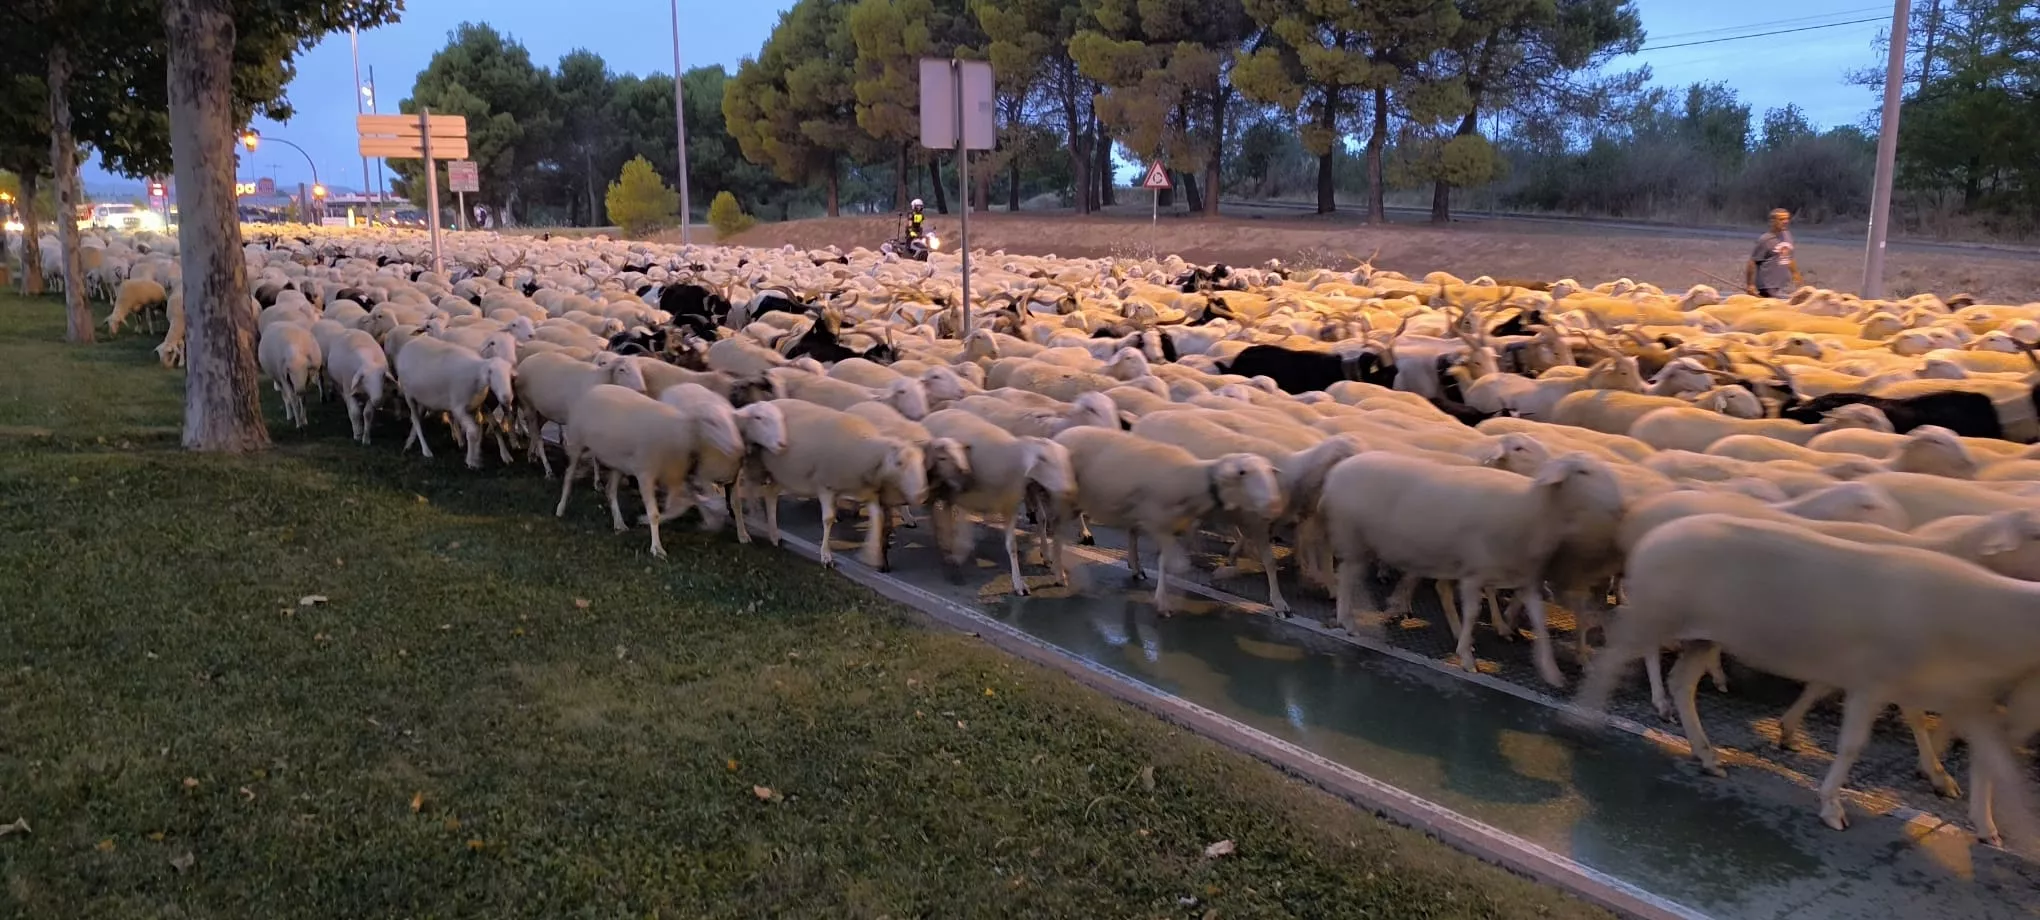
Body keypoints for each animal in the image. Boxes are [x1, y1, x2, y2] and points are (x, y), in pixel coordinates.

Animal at [1050, 427, 1282, 614]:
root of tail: (1062, 435)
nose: (1274, 504)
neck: (1194, 480)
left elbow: (1164, 558)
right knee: (1056, 534)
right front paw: (1162, 599)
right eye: (1242, 472)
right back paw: (1060, 571)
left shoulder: (1167, 525)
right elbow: (1171, 561)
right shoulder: (1156, 522)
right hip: (1064, 500)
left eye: (1270, 473)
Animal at [1319, 451, 1626, 687]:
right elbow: (1473, 612)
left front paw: (1551, 671)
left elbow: (1538, 619)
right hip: (1354, 537)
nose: (1621, 506)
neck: (1534, 509)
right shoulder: (1474, 573)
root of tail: (1337, 472)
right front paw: (1467, 659)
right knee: (1346, 578)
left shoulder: (1523, 577)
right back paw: (1348, 621)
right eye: (1583, 471)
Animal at [1576, 514, 2040, 841]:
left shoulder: (1958, 696)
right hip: (1657, 614)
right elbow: (1853, 744)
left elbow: (1994, 761)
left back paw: (1706, 755)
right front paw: (1832, 804)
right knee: (1613, 656)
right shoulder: (1875, 679)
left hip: (1703, 636)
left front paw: (1990, 823)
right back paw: (1587, 719)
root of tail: (1652, 538)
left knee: (1682, 682)